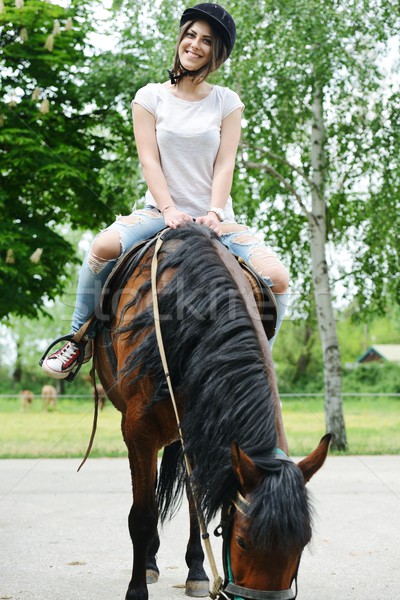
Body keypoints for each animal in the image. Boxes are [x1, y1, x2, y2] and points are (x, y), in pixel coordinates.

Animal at [94, 224, 332, 600]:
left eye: (302, 543)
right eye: (243, 541)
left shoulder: (202, 427)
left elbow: (200, 504)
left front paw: (197, 571)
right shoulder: (138, 430)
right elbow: (142, 515)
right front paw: (136, 589)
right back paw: (148, 564)